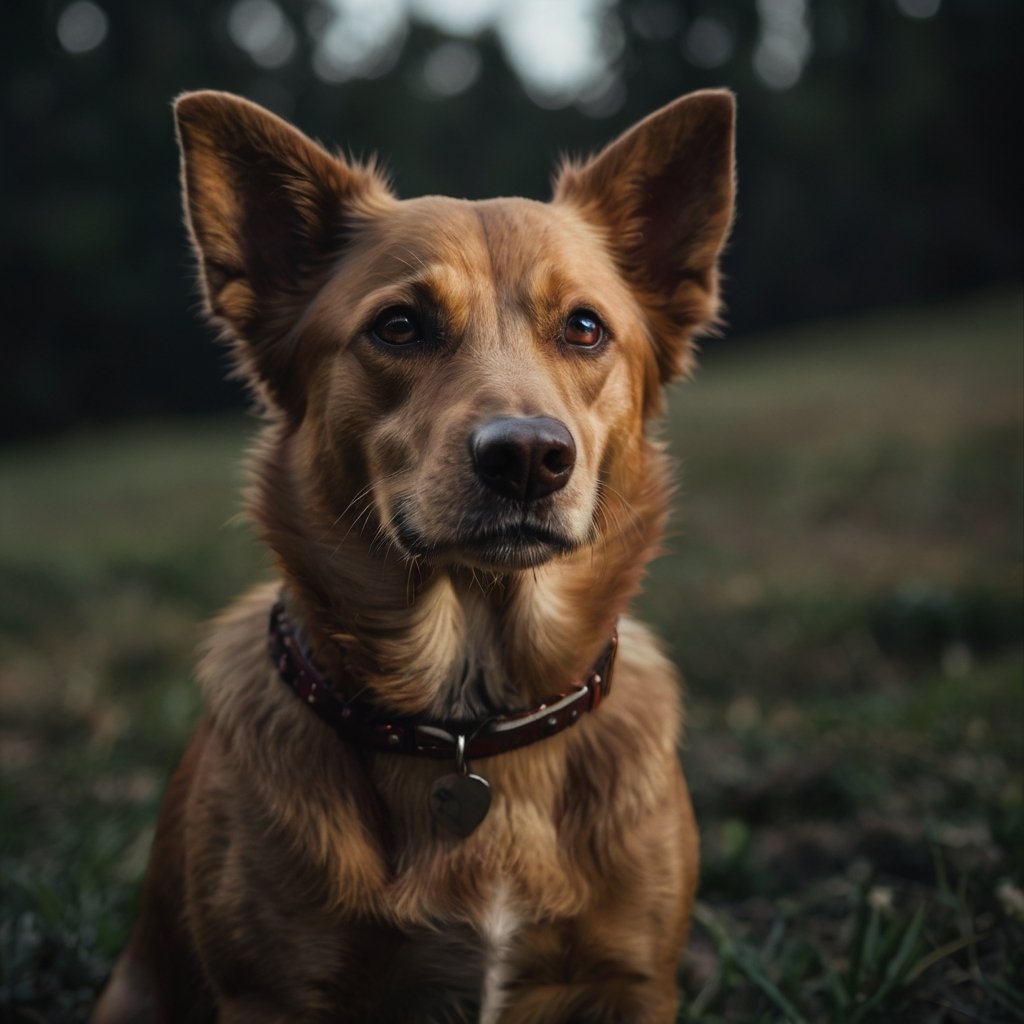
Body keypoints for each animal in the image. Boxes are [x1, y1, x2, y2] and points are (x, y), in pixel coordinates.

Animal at [92, 88, 733, 1024]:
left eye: (585, 328)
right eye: (399, 326)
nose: (528, 457)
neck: (469, 724)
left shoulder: (635, 983)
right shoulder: (271, 994)